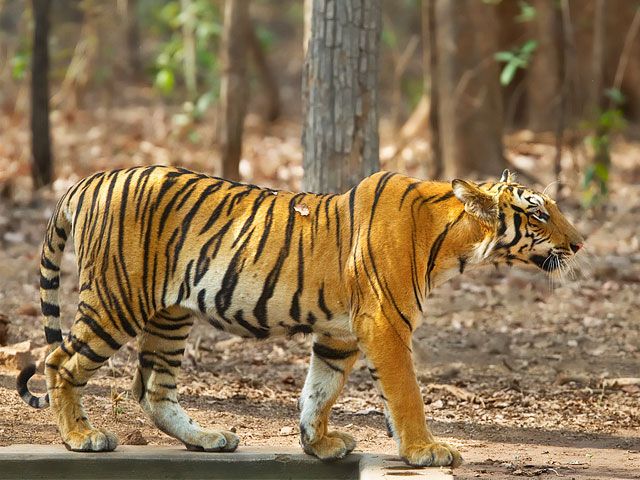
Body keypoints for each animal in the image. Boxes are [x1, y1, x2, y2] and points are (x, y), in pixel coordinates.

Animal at [17, 166, 584, 468]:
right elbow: (405, 393)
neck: (456, 243)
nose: (579, 243)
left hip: (170, 313)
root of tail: (88, 179)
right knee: (59, 361)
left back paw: (208, 439)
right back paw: (81, 437)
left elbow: (320, 391)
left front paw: (320, 443)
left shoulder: (339, 333)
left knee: (154, 388)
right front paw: (424, 450)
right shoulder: (385, 323)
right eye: (538, 214)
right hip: (117, 300)